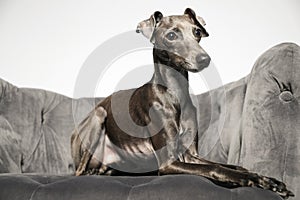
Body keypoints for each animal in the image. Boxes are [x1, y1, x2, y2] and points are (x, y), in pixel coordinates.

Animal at [71, 8, 294, 198]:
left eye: (197, 32)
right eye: (171, 36)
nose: (204, 59)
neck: (175, 93)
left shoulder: (191, 155)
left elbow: (235, 166)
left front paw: (268, 180)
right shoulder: (169, 162)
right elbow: (216, 168)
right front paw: (252, 180)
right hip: (99, 115)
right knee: (80, 173)